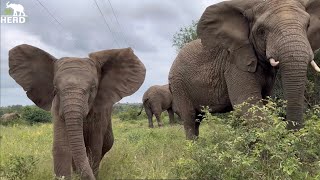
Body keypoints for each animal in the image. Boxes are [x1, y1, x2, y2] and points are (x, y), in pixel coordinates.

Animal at [8, 44, 146, 179]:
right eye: (55, 89)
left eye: (93, 88)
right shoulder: (57, 108)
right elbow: (61, 146)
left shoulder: (99, 112)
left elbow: (94, 147)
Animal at [169, 0, 318, 140]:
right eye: (261, 31)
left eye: (308, 26)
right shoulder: (234, 63)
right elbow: (246, 104)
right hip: (178, 85)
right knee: (189, 117)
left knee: (197, 119)